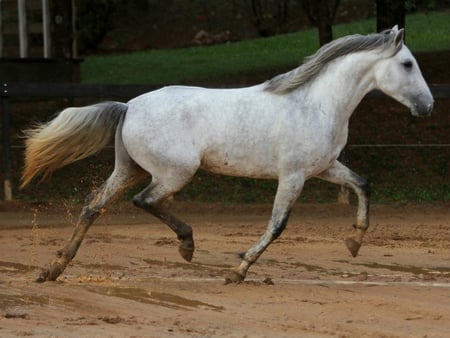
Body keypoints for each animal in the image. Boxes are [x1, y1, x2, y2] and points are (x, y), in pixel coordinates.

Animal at [21, 27, 432, 282]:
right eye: (407, 64)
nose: (427, 106)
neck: (315, 103)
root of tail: (128, 107)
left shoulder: (324, 167)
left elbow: (363, 184)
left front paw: (355, 242)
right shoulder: (294, 176)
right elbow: (278, 225)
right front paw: (239, 270)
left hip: (130, 169)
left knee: (93, 205)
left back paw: (54, 268)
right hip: (173, 173)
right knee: (145, 201)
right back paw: (187, 245)